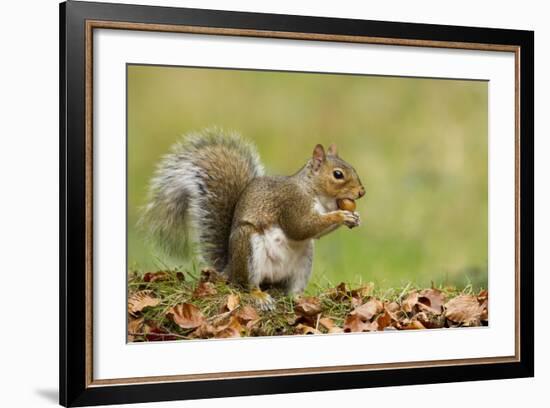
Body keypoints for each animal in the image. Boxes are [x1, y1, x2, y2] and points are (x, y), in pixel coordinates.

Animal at [142, 129, 366, 308]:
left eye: (353, 168)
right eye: (338, 174)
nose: (362, 192)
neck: (314, 192)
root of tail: (230, 269)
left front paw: (355, 217)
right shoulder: (292, 203)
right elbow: (301, 227)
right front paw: (341, 215)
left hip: (303, 262)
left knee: (291, 290)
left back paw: (299, 299)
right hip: (248, 247)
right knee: (246, 285)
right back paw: (259, 296)